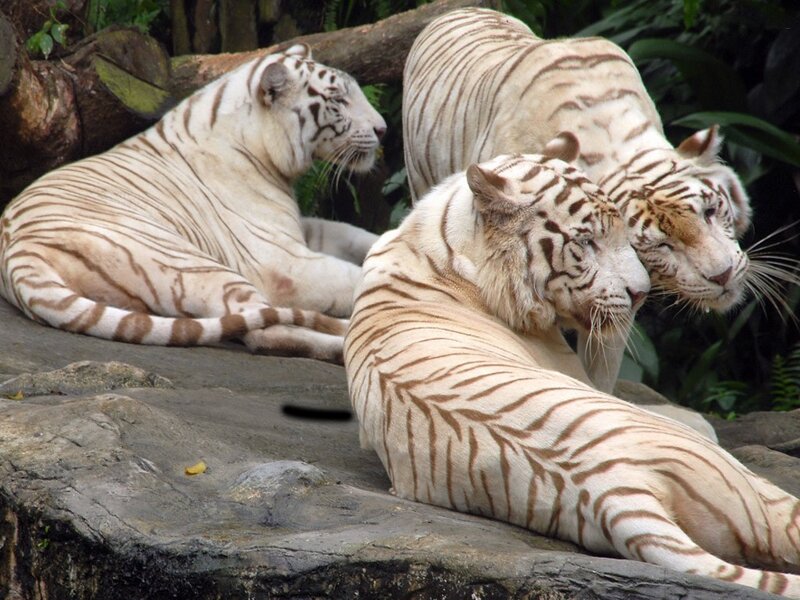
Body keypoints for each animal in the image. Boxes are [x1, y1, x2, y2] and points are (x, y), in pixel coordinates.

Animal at [0, 44, 387, 363]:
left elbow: (354, 235)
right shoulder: (281, 263)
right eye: (339, 101)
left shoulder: (298, 229)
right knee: (266, 333)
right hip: (193, 264)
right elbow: (354, 276)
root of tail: (17, 255)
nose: (383, 129)